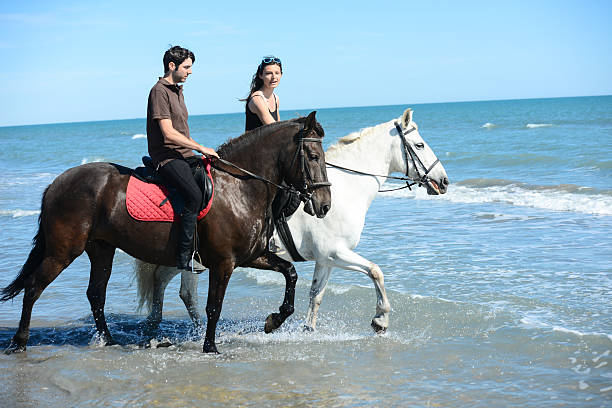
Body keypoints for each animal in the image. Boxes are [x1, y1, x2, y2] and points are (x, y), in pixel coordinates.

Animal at [2, 112, 332, 354]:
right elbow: (214, 306)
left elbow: (290, 273)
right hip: (62, 251)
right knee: (33, 288)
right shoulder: (223, 263)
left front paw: (273, 320)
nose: (325, 204)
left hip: (101, 249)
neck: (239, 187)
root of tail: (56, 184)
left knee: (95, 293)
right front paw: (210, 348)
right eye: (314, 156)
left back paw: (108, 341)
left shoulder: (251, 256)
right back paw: (19, 343)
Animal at [135, 108, 450, 332]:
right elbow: (376, 271)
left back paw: (163, 325)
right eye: (420, 145)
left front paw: (308, 329)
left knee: (167, 282)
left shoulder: (326, 258)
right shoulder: (337, 252)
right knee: (179, 288)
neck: (348, 189)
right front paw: (380, 320)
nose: (444, 181)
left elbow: (316, 294)